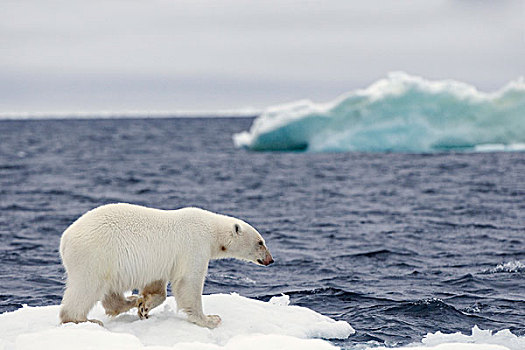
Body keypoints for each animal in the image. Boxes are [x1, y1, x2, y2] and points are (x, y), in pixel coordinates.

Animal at [58, 204, 274, 326]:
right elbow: (188, 282)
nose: (270, 259)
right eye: (260, 242)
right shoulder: (194, 245)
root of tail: (65, 239)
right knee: (86, 287)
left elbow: (156, 285)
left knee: (109, 290)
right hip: (95, 254)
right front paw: (210, 319)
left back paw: (130, 301)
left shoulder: (161, 261)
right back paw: (81, 319)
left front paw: (144, 306)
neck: (212, 230)